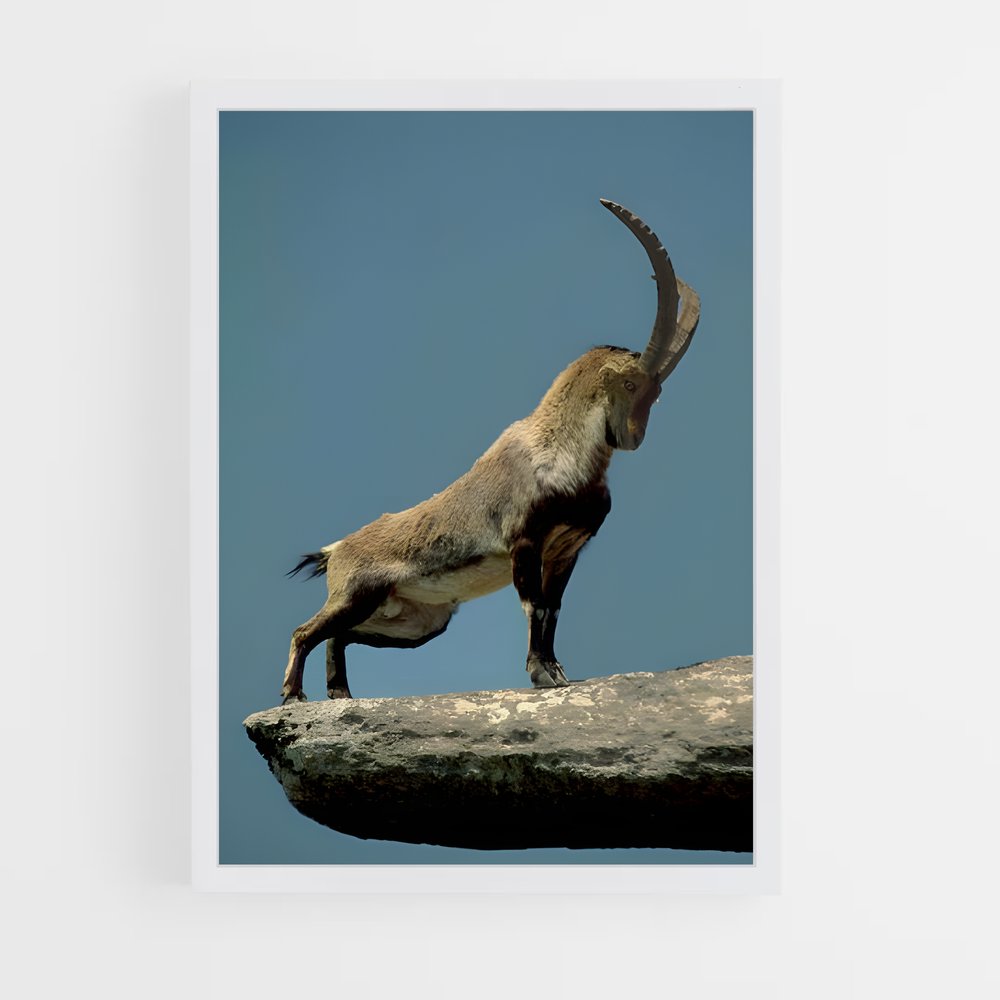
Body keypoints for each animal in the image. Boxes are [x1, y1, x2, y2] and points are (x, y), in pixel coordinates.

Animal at [280, 198, 700, 703]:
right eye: (632, 384)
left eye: (656, 394)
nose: (634, 438)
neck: (560, 455)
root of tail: (335, 550)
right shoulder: (525, 541)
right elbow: (535, 606)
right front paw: (542, 675)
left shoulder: (567, 549)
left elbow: (554, 608)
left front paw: (557, 671)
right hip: (356, 594)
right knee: (305, 631)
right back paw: (293, 695)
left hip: (417, 620)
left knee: (338, 635)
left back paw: (340, 695)